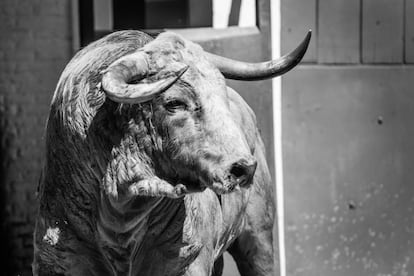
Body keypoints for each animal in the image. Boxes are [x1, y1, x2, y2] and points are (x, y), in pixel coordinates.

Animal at [33, 30, 310, 276]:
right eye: (174, 102)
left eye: (220, 96)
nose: (244, 168)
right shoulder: (56, 262)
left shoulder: (186, 262)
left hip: (258, 239)